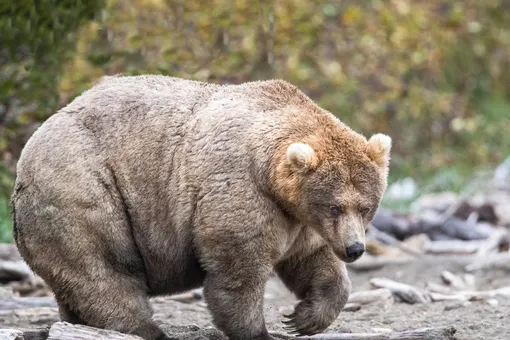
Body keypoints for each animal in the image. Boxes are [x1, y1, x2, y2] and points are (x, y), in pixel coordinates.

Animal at [10, 76, 390, 340]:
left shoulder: (298, 220)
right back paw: (146, 329)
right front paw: (259, 330)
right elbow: (238, 271)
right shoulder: (240, 190)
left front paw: (303, 317)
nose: (355, 249)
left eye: (366, 207)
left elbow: (312, 261)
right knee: (103, 268)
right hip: (84, 189)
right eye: (335, 206)